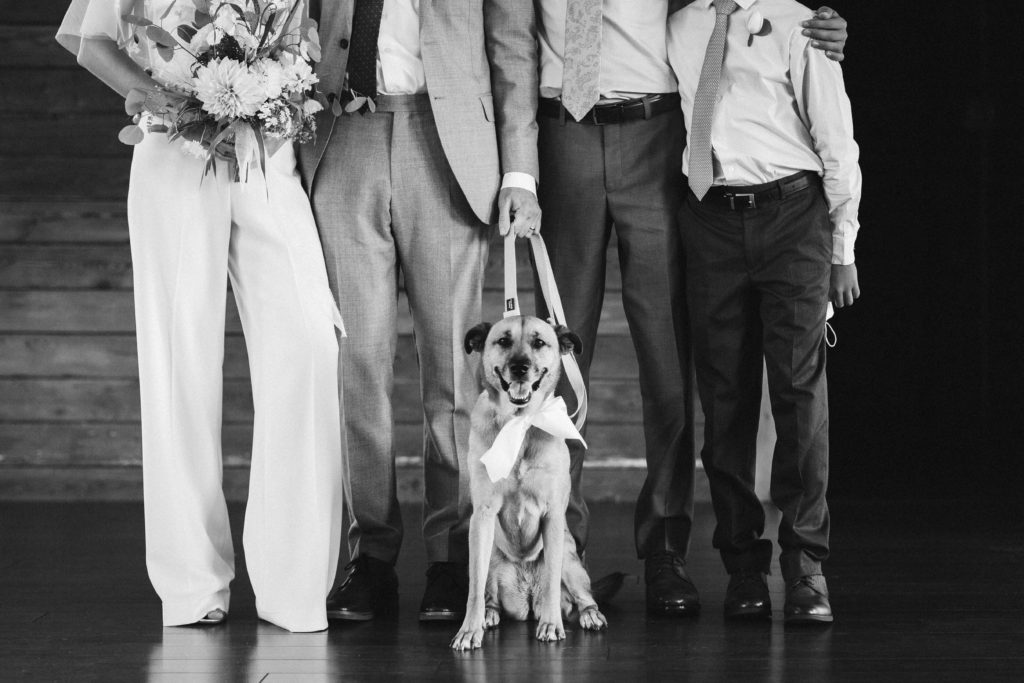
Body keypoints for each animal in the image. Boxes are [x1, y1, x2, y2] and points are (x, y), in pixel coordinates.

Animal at [450, 317, 606, 651]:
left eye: (539, 343)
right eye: (503, 341)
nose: (520, 367)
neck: (519, 424)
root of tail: (528, 600)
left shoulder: (553, 515)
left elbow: (552, 582)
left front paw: (552, 625)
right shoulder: (482, 517)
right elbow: (474, 589)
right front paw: (469, 629)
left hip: (569, 557)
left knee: (582, 595)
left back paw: (588, 614)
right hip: (490, 556)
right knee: (488, 593)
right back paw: (490, 614)